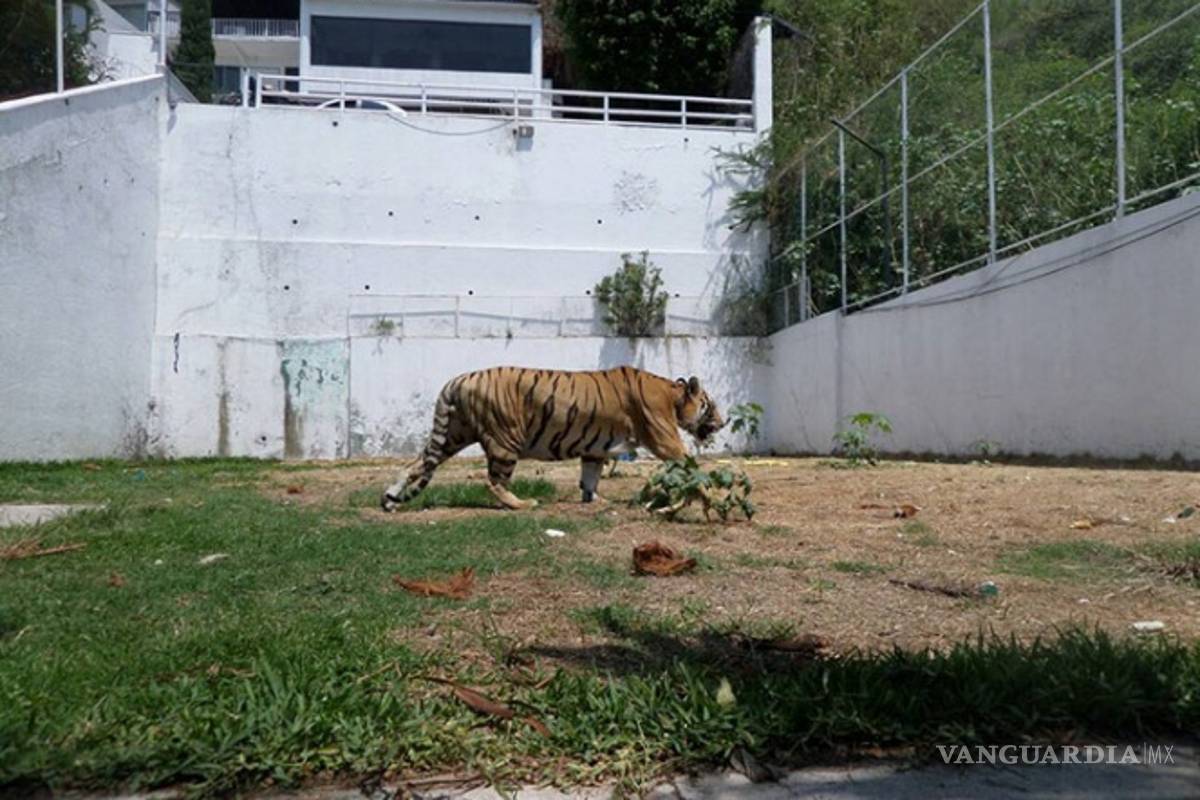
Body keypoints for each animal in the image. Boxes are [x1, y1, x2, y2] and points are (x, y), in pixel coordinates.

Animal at [381, 365, 725, 511]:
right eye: (710, 405)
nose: (723, 423)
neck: (672, 396)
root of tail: (458, 379)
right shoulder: (665, 440)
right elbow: (692, 467)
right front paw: (712, 496)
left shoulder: (596, 448)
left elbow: (590, 476)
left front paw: (594, 499)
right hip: (506, 438)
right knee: (493, 481)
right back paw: (521, 503)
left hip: (454, 433)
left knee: (417, 464)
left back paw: (389, 499)